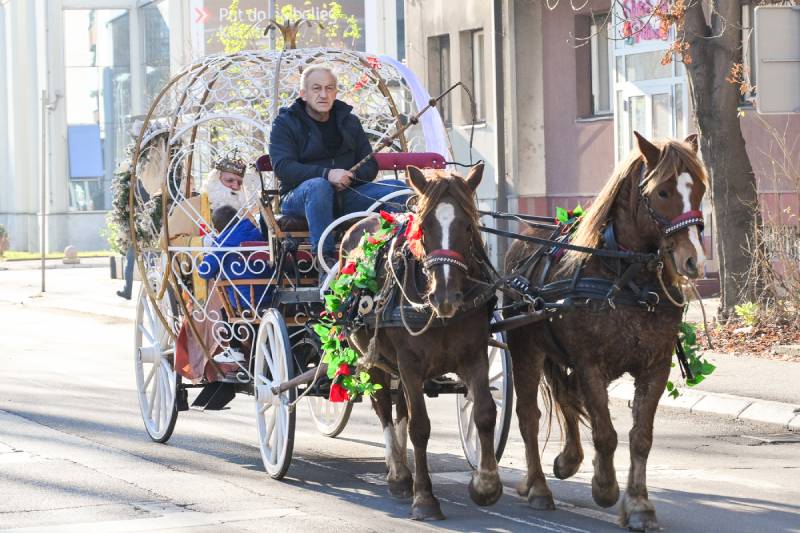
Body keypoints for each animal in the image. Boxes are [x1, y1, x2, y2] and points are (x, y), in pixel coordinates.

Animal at [340, 164, 504, 516]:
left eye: (468, 225)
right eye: (425, 227)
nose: (445, 297)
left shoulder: (475, 355)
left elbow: (484, 412)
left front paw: (486, 484)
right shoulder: (410, 363)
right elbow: (420, 426)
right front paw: (425, 497)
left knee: (399, 406)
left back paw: (402, 464)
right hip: (373, 359)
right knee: (383, 406)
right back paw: (399, 474)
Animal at [506, 132, 708, 528]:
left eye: (701, 189)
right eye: (663, 192)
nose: (693, 259)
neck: (626, 278)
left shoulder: (655, 366)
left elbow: (640, 437)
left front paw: (639, 504)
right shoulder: (590, 366)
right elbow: (606, 433)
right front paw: (605, 487)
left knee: (565, 398)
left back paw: (568, 460)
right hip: (525, 351)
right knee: (529, 418)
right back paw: (537, 487)